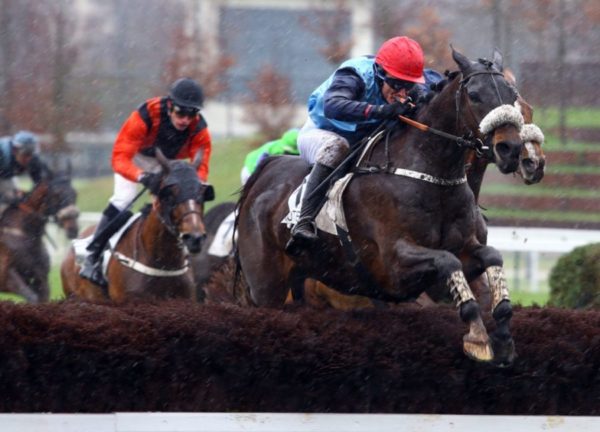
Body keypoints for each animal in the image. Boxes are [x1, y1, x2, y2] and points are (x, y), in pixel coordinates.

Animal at [0, 165, 79, 304]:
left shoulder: (41, 278)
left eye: (75, 194)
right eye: (57, 194)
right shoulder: (6, 277)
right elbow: (33, 298)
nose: (73, 229)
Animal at [234, 46, 524, 364]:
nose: (510, 149)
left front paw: (504, 338)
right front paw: (478, 338)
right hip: (266, 286)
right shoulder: (393, 264)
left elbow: (491, 258)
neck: (432, 174)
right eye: (474, 94)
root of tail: (266, 170)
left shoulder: (459, 255)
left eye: (512, 94)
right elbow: (449, 262)